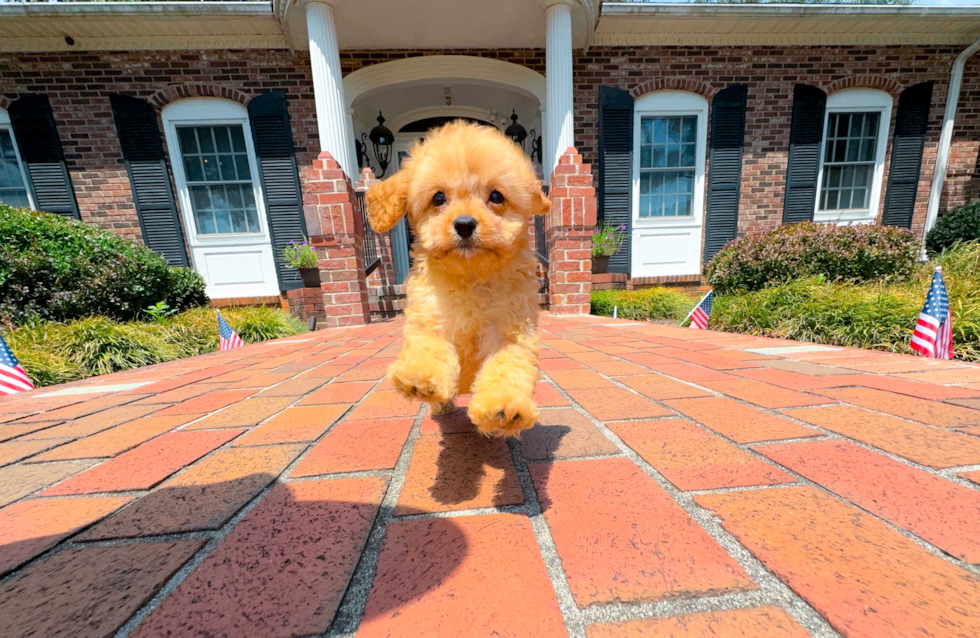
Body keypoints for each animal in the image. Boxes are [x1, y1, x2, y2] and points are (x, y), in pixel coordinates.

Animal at [368, 121, 552, 440]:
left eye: (496, 196)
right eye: (438, 198)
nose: (465, 224)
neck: (470, 276)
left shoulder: (511, 330)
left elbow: (508, 364)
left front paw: (504, 409)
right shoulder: (429, 316)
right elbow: (428, 345)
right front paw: (419, 376)